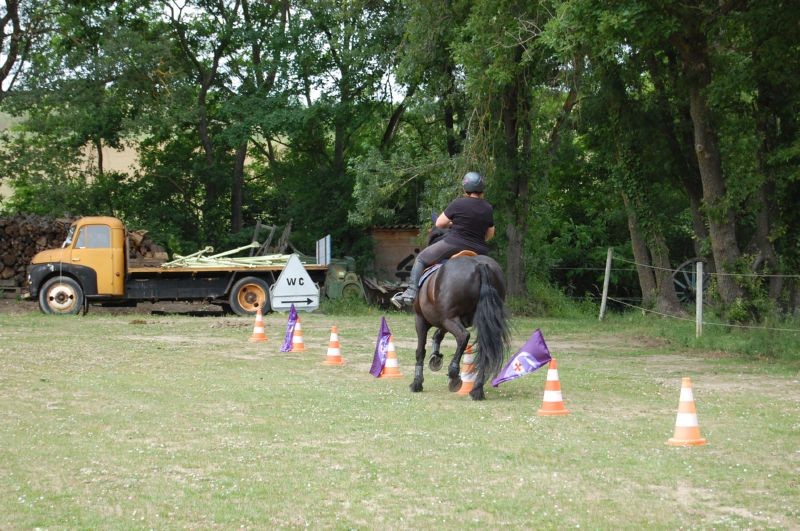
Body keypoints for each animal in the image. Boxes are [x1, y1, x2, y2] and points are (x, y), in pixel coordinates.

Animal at [409, 228, 511, 400]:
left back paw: (454, 376)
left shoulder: (422, 319)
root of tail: (479, 265)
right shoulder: (447, 319)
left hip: (448, 319)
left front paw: (417, 382)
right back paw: (476, 389)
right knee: (485, 348)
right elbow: (438, 335)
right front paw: (435, 357)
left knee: (463, 337)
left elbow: (420, 350)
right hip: (477, 321)